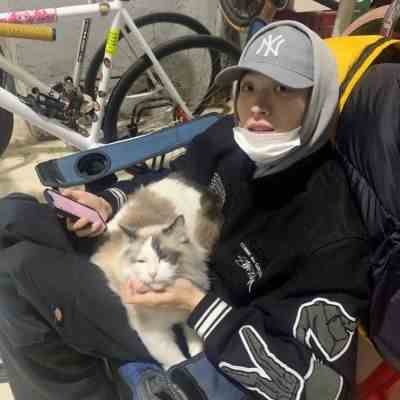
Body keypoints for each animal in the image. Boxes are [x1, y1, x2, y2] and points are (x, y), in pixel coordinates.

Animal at [91, 174, 223, 369]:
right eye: (141, 261)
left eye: (163, 257)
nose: (152, 274)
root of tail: (178, 176)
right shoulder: (155, 334)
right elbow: (177, 361)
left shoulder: (189, 317)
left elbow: (195, 353)